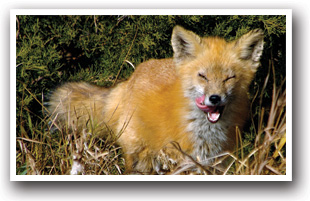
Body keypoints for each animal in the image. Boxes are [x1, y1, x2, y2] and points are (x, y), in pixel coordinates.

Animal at [48, 25, 264, 174]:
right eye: (203, 76)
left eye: (229, 78)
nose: (215, 98)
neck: (206, 134)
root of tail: (131, 77)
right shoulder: (180, 160)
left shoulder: (219, 161)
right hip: (140, 155)